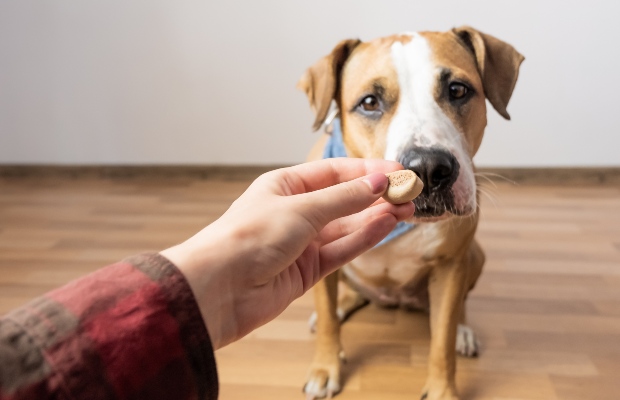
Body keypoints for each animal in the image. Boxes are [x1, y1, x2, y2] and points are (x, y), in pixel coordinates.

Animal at [296, 27, 524, 400]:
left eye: (458, 90)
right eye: (369, 102)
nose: (429, 168)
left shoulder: (450, 265)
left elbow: (442, 339)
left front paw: (443, 390)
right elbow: (328, 319)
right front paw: (324, 368)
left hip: (474, 256)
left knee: (459, 307)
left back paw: (463, 331)